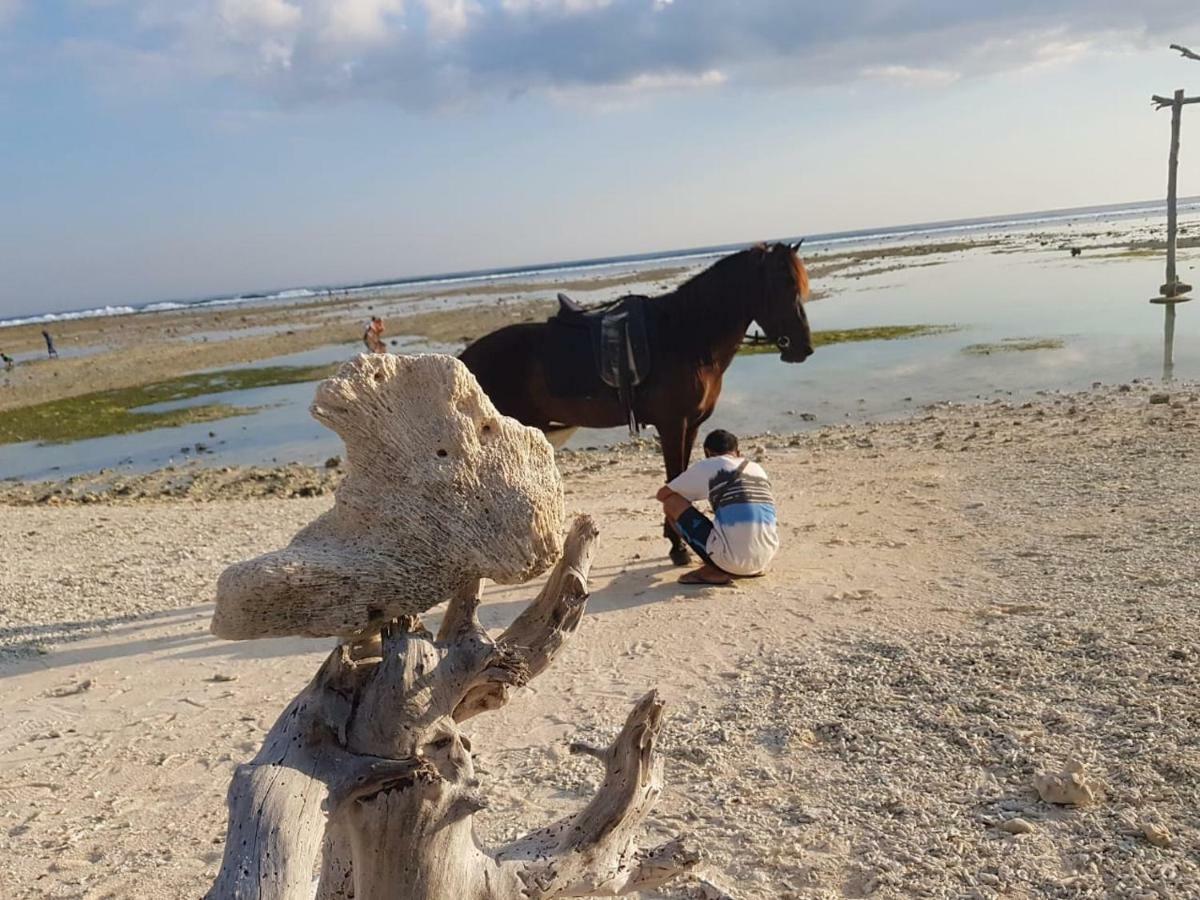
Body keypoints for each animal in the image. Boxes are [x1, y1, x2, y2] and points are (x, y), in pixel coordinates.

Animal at [460, 240, 816, 564]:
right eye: (783, 283)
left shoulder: (691, 425)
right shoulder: (672, 425)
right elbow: (673, 477)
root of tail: (465, 358)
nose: (803, 348)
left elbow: (680, 477)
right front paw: (677, 546)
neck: (684, 337)